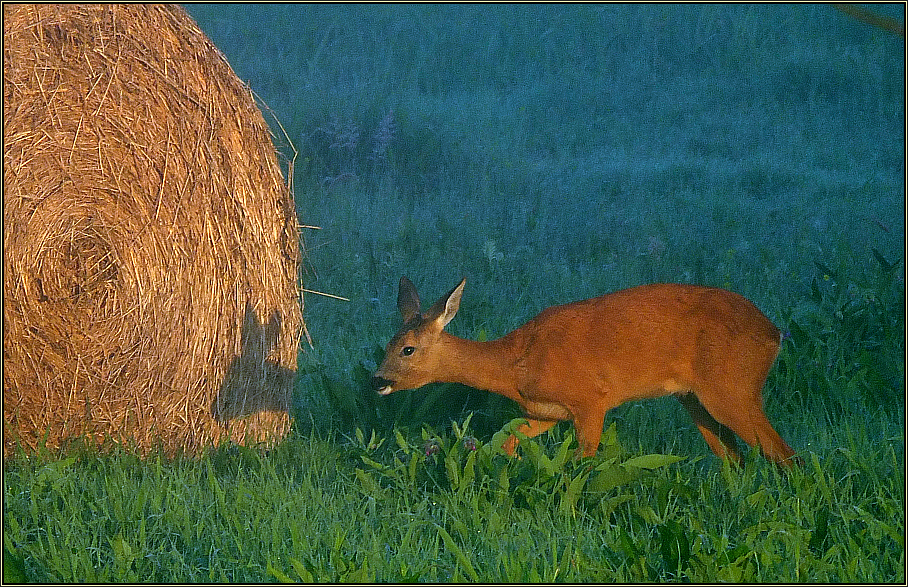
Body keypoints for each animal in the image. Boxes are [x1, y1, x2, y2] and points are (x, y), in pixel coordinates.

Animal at [372, 276, 800, 468]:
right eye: (386, 346)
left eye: (408, 349)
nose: (377, 381)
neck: (516, 364)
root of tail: (774, 332)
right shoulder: (545, 412)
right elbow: (505, 441)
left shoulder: (591, 399)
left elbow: (583, 460)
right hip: (695, 398)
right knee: (734, 457)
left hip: (731, 386)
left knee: (784, 453)